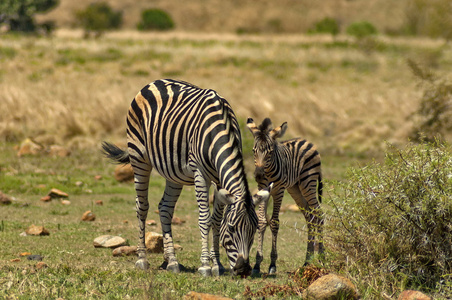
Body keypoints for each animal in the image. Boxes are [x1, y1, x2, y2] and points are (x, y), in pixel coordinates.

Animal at [101, 79, 270, 276]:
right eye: (232, 228)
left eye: (254, 229)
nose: (243, 269)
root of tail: (153, 82)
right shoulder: (200, 174)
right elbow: (204, 219)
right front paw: (205, 266)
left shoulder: (219, 179)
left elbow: (216, 219)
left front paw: (217, 265)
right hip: (139, 157)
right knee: (141, 207)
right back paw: (142, 259)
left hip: (173, 172)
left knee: (165, 208)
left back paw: (171, 261)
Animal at [245, 116, 324, 274]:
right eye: (253, 151)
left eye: (269, 152)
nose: (258, 175)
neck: (268, 172)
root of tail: (306, 140)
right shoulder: (262, 188)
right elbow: (262, 222)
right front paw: (257, 264)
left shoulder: (279, 190)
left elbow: (274, 223)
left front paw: (272, 264)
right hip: (295, 188)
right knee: (310, 216)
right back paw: (308, 261)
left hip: (308, 183)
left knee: (319, 214)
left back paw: (322, 259)